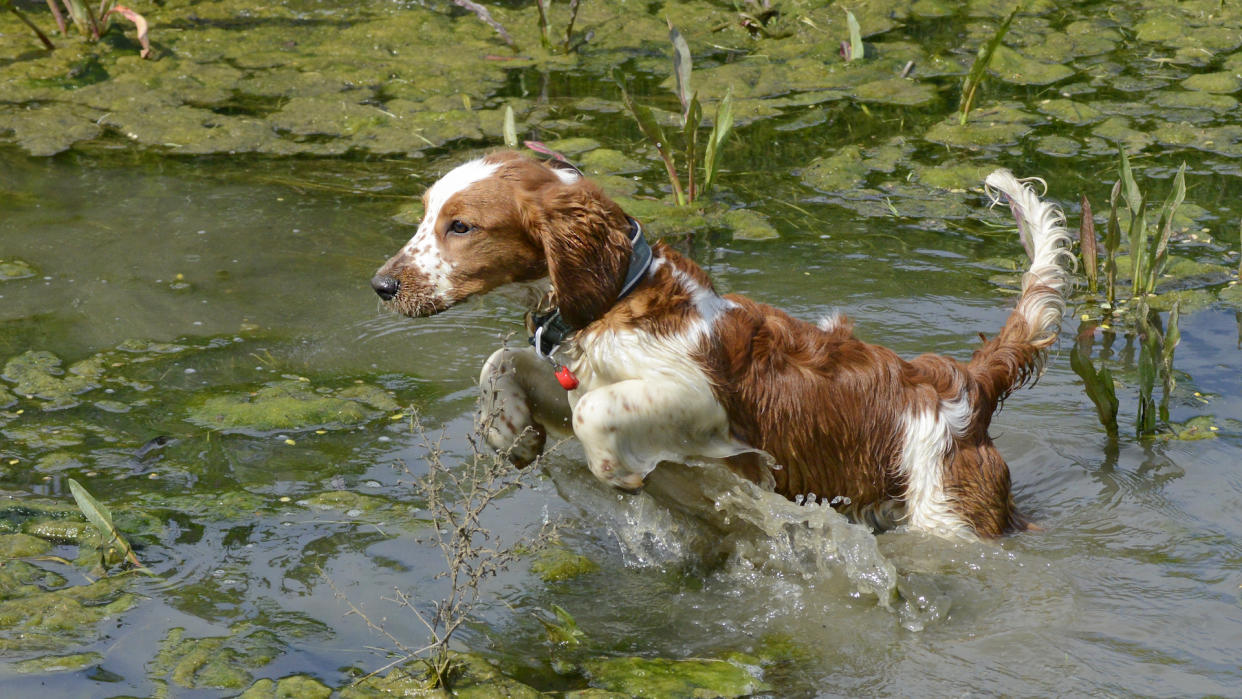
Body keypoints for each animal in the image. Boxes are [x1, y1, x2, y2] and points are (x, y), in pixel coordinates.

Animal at [372, 150, 1073, 538]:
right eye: (425, 214)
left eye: (461, 226)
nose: (382, 285)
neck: (620, 298)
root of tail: (969, 384)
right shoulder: (579, 371)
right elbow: (509, 364)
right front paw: (509, 430)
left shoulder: (703, 402)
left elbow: (597, 413)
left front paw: (618, 470)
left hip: (948, 520)